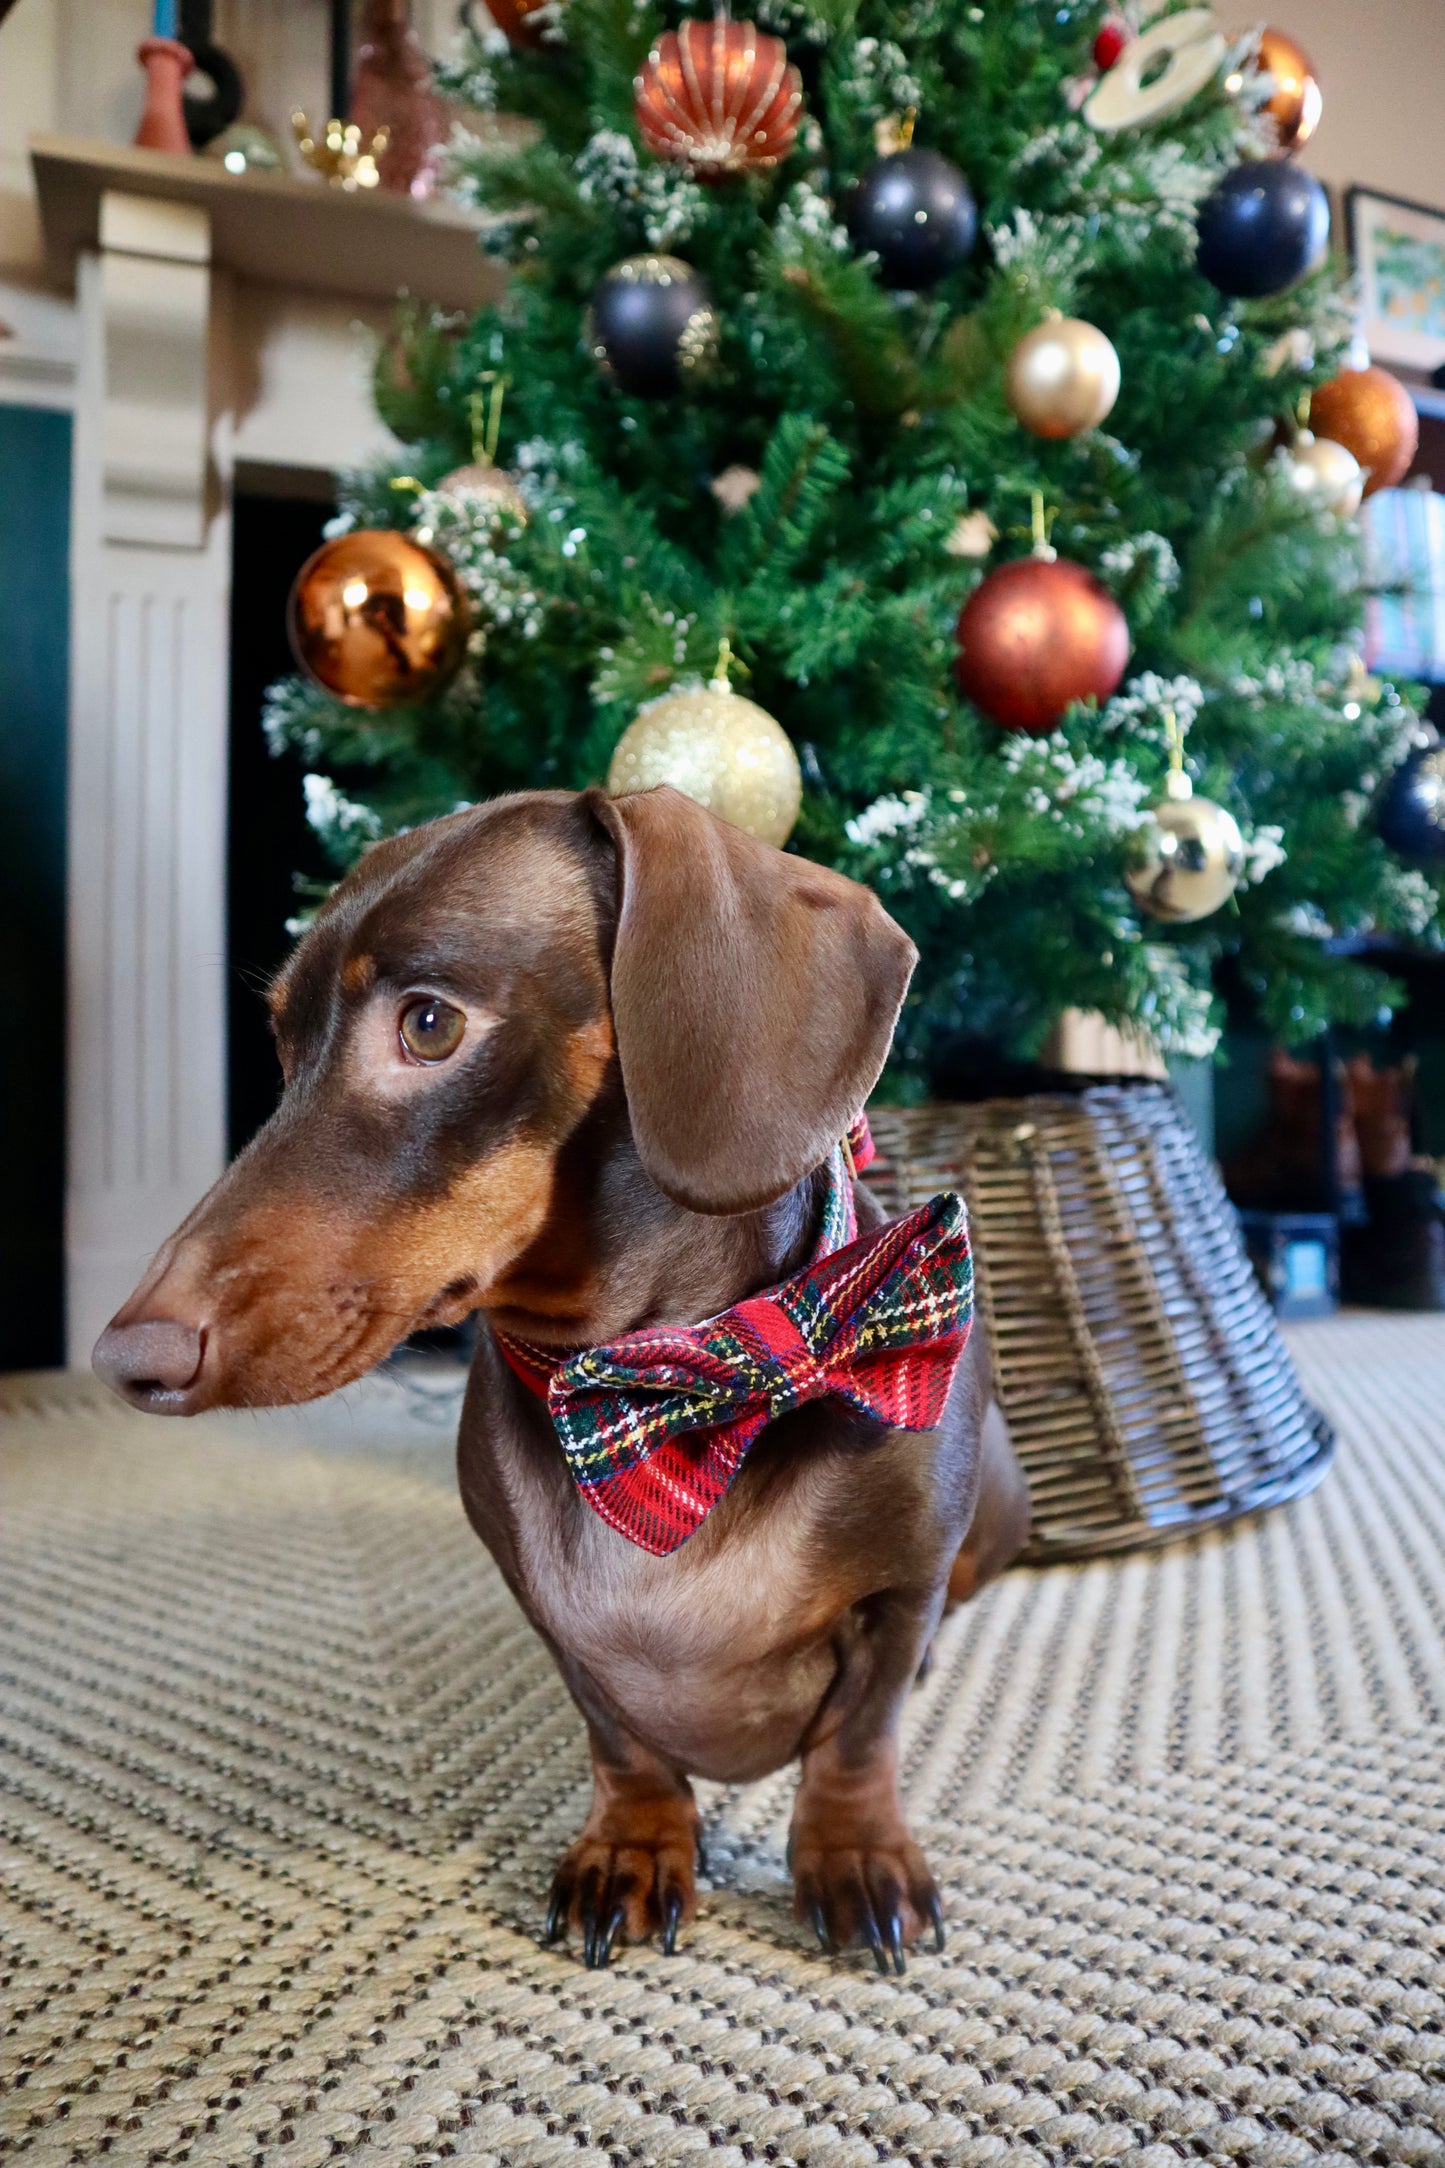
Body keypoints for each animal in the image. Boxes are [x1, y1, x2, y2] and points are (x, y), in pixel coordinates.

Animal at [95, 789, 1035, 1977]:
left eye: (429, 1024)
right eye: (281, 1043)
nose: (124, 1357)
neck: (669, 1395)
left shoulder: (902, 1590)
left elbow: (857, 1737)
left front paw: (852, 1854)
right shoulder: (549, 1616)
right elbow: (620, 1737)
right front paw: (631, 1847)